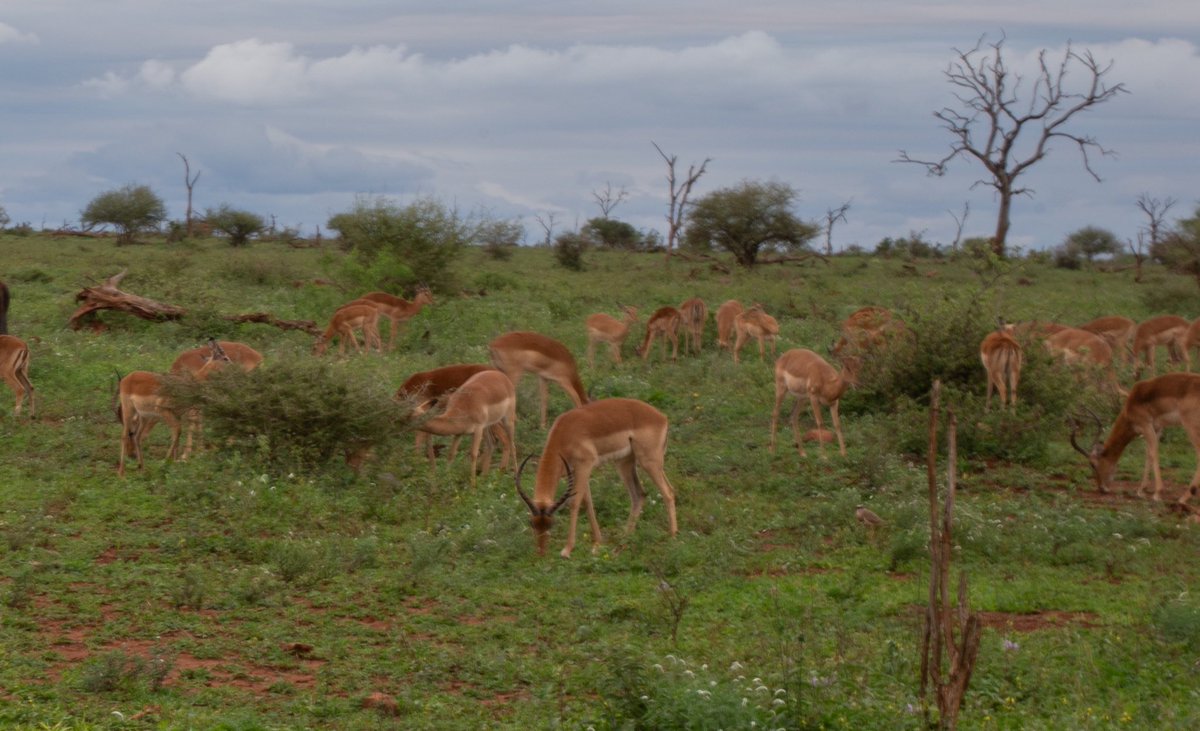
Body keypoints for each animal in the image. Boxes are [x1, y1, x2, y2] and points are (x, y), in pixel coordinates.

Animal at [117, 340, 230, 476]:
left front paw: (175, 463)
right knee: (124, 436)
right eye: (225, 358)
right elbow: (177, 431)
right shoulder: (164, 411)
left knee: (137, 437)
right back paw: (121, 472)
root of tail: (128, 377)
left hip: (144, 416)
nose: (235, 369)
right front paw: (166, 462)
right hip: (128, 411)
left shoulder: (178, 414)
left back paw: (142, 468)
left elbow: (177, 435)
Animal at [515, 398, 678, 557]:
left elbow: (575, 503)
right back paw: (623, 543)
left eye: (551, 523)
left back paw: (672, 537)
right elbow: (588, 502)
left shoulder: (585, 465)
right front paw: (597, 544)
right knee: (639, 495)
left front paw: (567, 550)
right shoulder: (577, 471)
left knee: (668, 492)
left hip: (649, 461)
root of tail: (662, 417)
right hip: (625, 462)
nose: (541, 553)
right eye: (532, 522)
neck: (565, 432)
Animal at [1070, 372, 1200, 505]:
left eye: (1092, 464)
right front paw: (1141, 491)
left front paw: (1157, 493)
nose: (1101, 488)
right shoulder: (1157, 428)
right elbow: (1148, 455)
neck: (1131, 403)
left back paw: (1183, 498)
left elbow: (1153, 453)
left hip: (1190, 427)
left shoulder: (1146, 425)